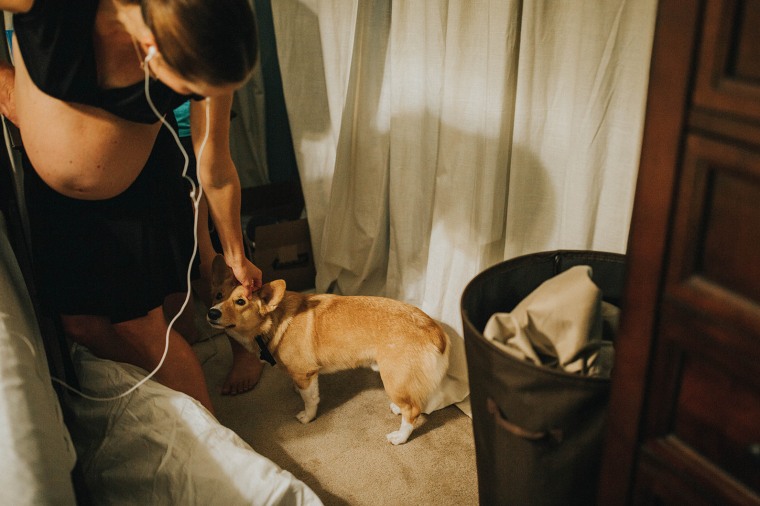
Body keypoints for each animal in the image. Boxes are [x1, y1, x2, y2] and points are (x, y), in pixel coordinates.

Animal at [205, 258, 448, 444]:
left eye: (240, 301)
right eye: (218, 295)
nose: (212, 313)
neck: (274, 319)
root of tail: (434, 330)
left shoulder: (306, 374)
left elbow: (311, 400)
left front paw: (307, 417)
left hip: (392, 378)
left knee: (413, 411)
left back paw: (399, 437)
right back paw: (398, 409)